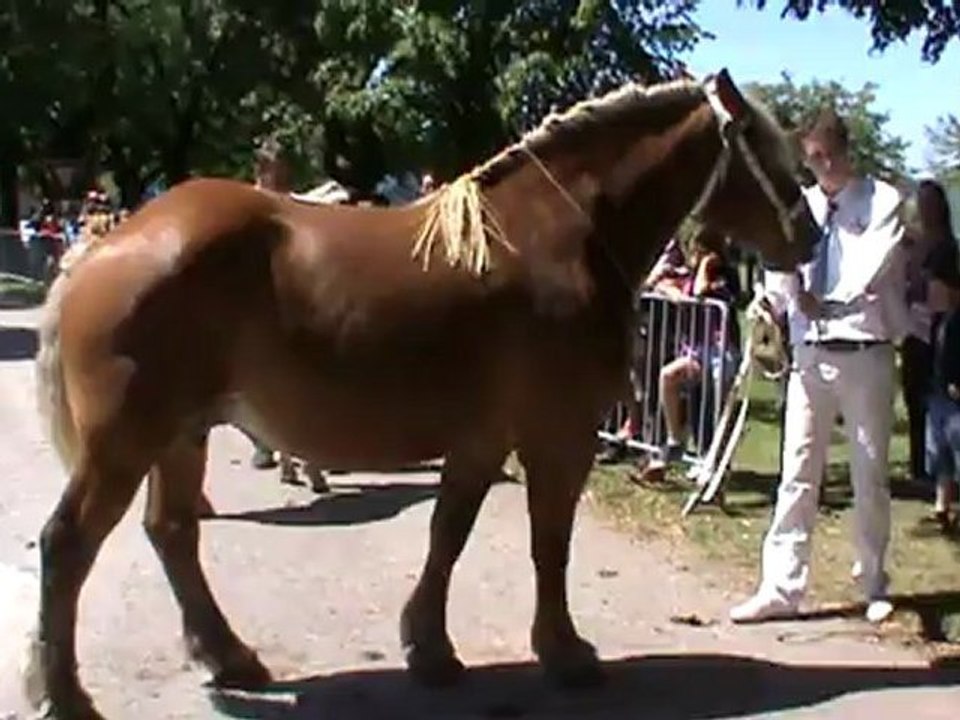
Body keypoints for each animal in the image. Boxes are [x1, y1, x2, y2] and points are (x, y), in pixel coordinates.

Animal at [26, 69, 817, 719]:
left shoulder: (484, 439)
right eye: (763, 144)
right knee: (69, 544)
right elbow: (548, 543)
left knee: (172, 534)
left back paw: (230, 658)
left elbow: (449, 535)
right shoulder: (558, 433)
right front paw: (564, 653)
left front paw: (430, 650)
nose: (809, 235)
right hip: (127, 441)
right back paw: (67, 696)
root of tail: (106, 244)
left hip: (182, 432)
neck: (559, 235)